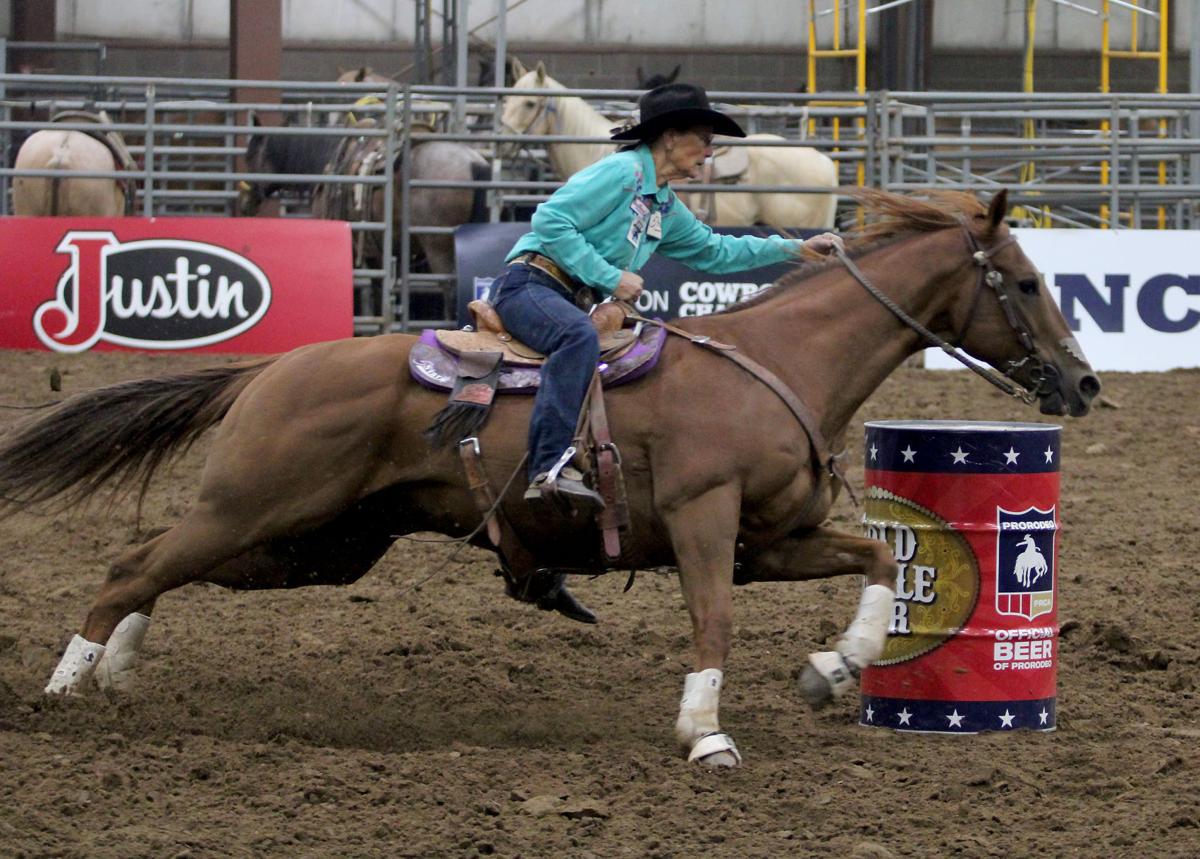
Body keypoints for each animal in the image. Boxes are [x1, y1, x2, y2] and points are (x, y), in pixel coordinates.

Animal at [2, 189, 1104, 763]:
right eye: (1026, 281)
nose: (1086, 381)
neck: (778, 360)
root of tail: (272, 368)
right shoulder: (705, 522)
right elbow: (712, 620)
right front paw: (705, 732)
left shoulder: (772, 540)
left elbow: (876, 563)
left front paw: (833, 670)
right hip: (262, 503)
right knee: (134, 563)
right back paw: (63, 688)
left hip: (317, 540)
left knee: (156, 560)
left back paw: (118, 673)